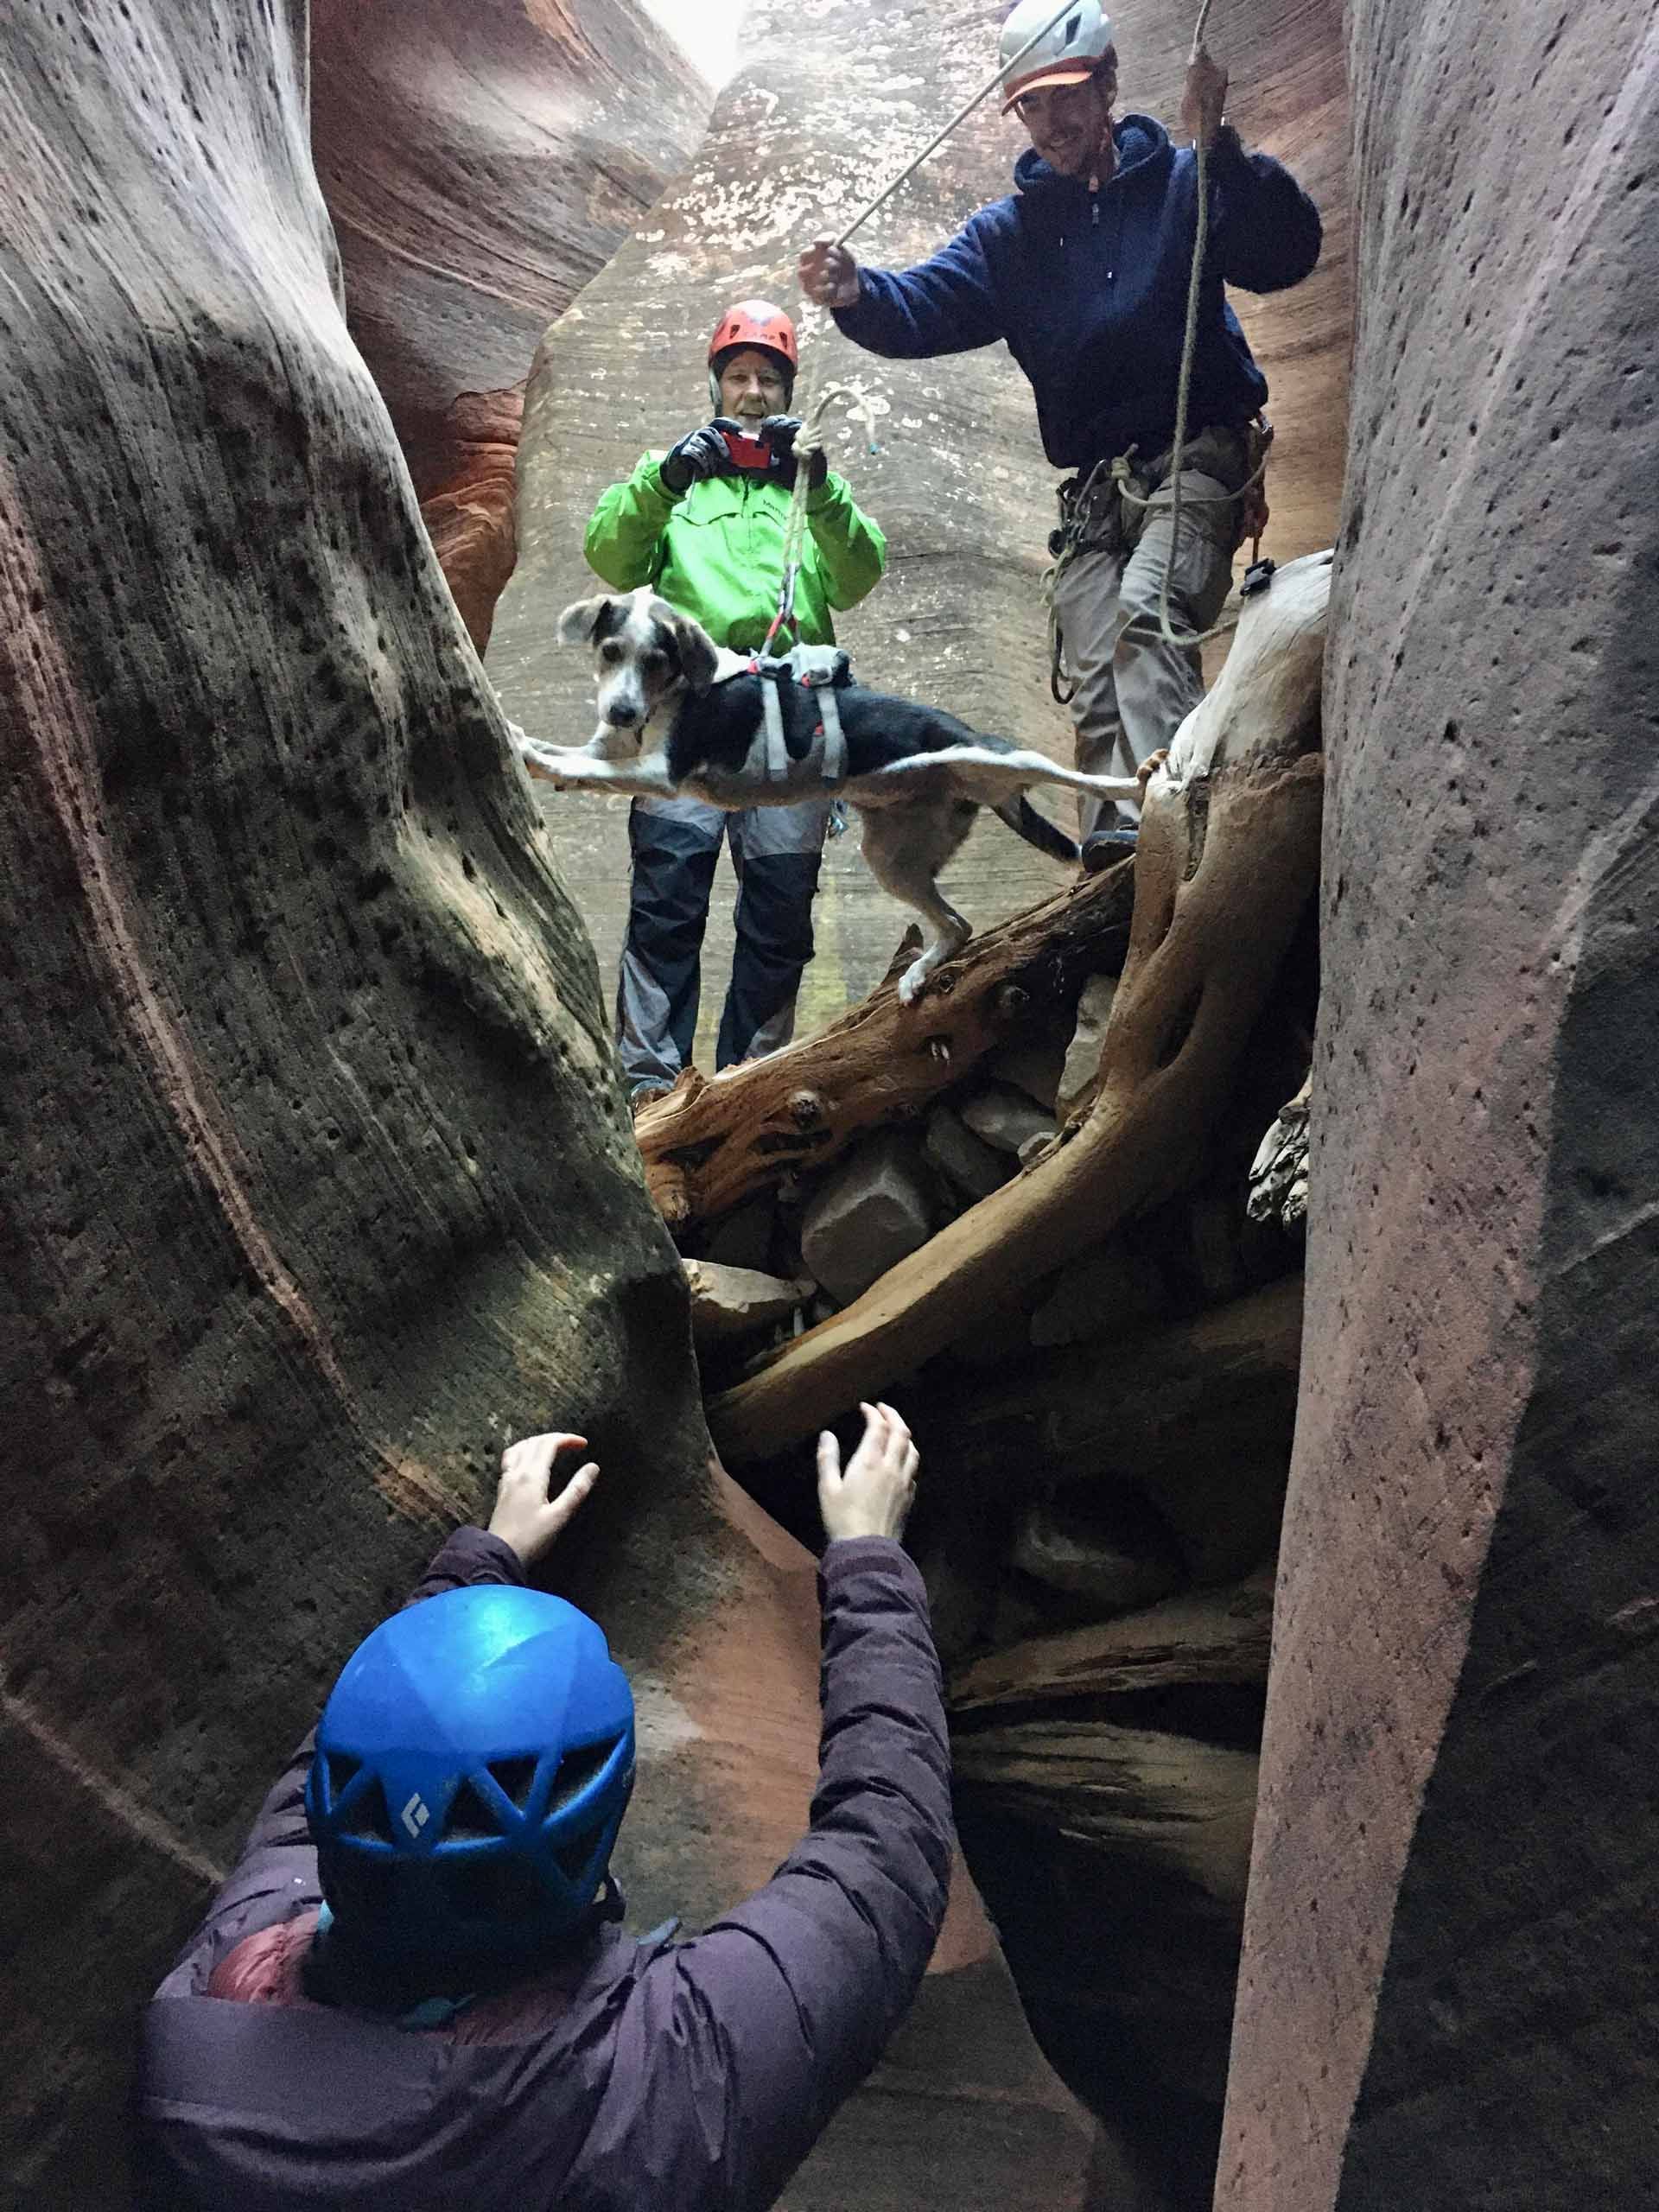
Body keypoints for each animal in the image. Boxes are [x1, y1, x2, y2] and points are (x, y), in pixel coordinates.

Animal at [526, 588, 1150, 1004]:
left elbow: (580, 762)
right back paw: (918, 974)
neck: (673, 696)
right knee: (958, 925)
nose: (620, 710)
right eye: (610, 652)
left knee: (1081, 779)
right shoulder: (615, 751)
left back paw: (1144, 777)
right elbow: (580, 758)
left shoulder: (661, 771)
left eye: (656, 662)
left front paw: (529, 753)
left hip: (1001, 761)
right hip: (893, 859)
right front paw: (530, 747)